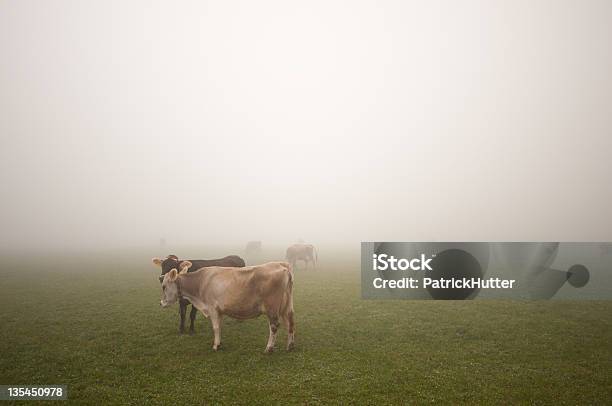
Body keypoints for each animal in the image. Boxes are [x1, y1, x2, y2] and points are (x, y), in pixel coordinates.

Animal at [159, 264, 296, 352]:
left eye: (164, 286)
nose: (161, 303)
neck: (201, 283)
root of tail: (283, 267)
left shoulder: (212, 308)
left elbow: (215, 327)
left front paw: (215, 346)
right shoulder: (219, 311)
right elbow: (219, 327)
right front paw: (219, 343)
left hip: (271, 308)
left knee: (274, 326)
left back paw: (269, 348)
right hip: (287, 306)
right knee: (290, 323)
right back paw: (290, 346)